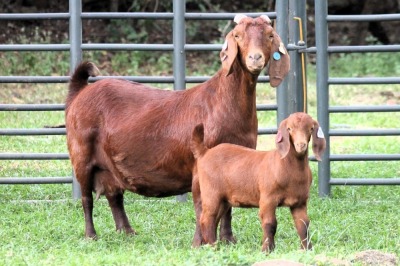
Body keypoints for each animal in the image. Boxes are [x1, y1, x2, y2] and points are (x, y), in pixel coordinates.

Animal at [65, 13, 290, 240]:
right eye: (237, 35)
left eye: (270, 35)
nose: (255, 58)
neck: (221, 102)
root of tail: (80, 91)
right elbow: (203, 205)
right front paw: (203, 240)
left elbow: (227, 206)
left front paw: (228, 239)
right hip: (81, 155)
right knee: (86, 198)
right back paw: (91, 235)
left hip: (109, 165)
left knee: (114, 195)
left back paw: (127, 232)